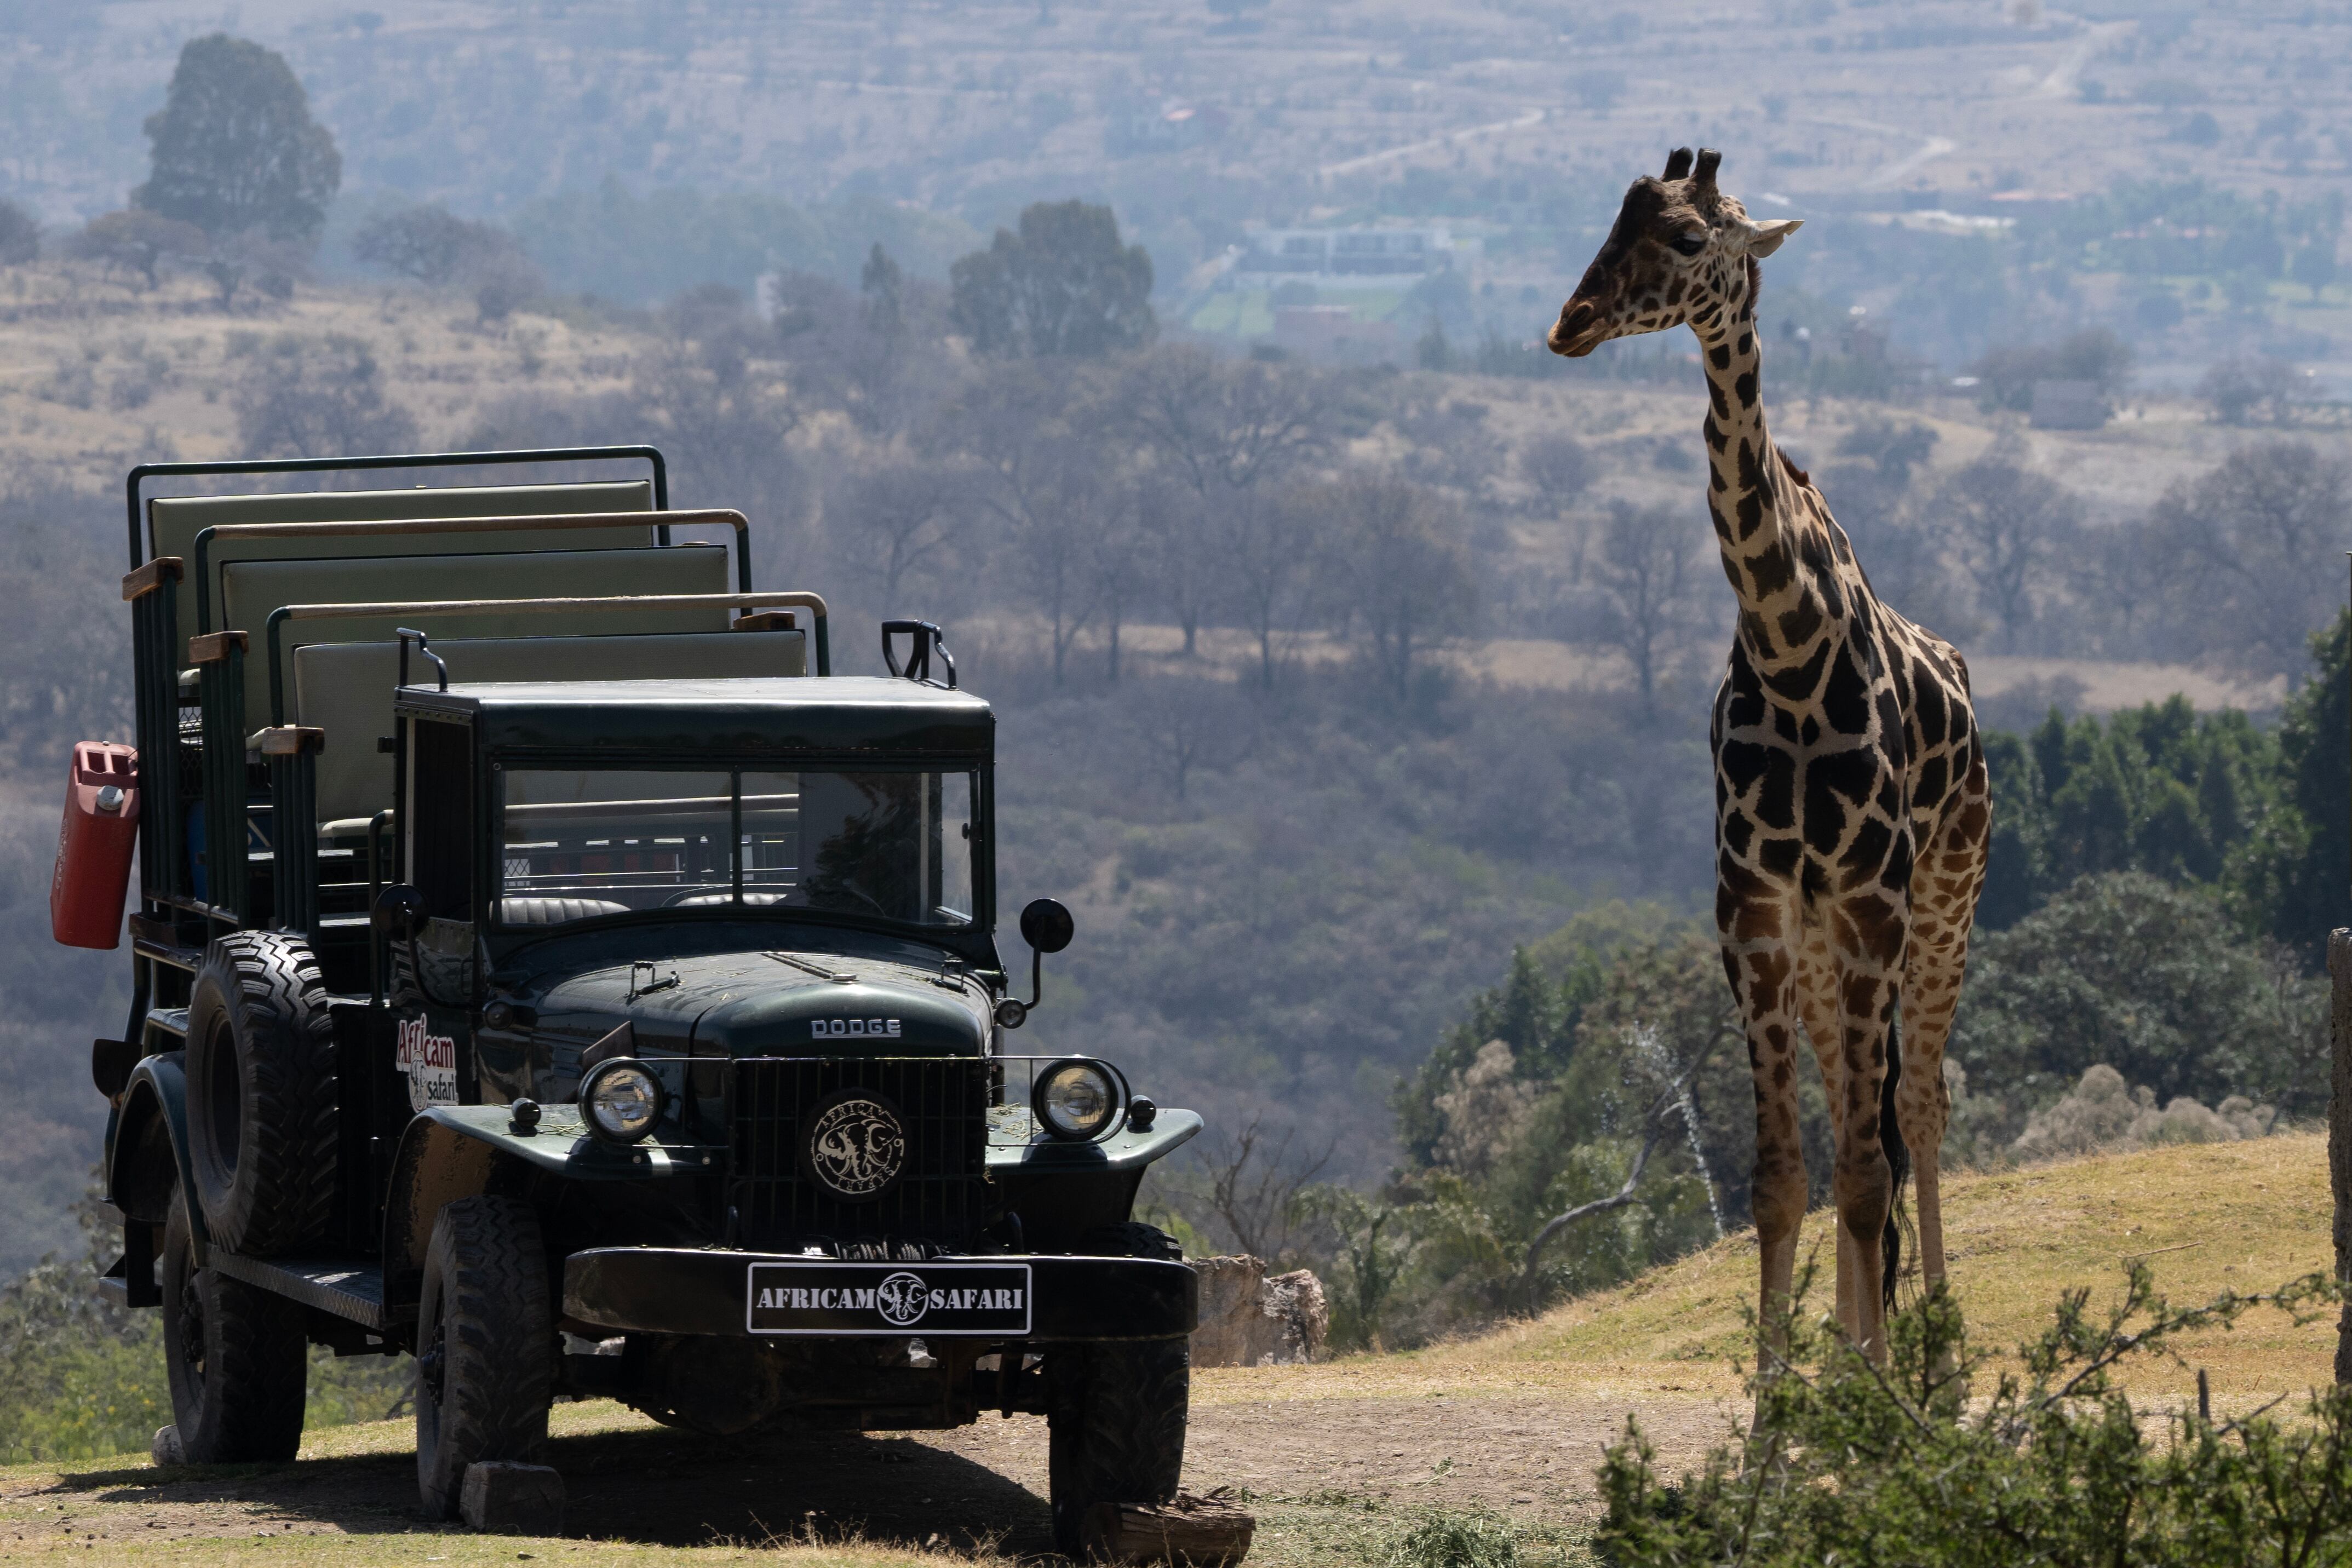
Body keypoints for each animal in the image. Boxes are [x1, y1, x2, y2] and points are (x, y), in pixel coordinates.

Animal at [1552, 153, 1994, 1363]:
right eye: (1611, 223)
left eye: (1690, 238)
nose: (1570, 322)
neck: (1788, 647)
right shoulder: (1748, 905)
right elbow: (1778, 1180)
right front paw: (1780, 1396)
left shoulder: (1875, 898)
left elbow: (1866, 1163)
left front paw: (1872, 1386)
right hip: (1820, 940)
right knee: (1855, 1112)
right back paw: (1855, 1346)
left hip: (1943, 900)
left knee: (1914, 1109)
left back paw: (1929, 1351)